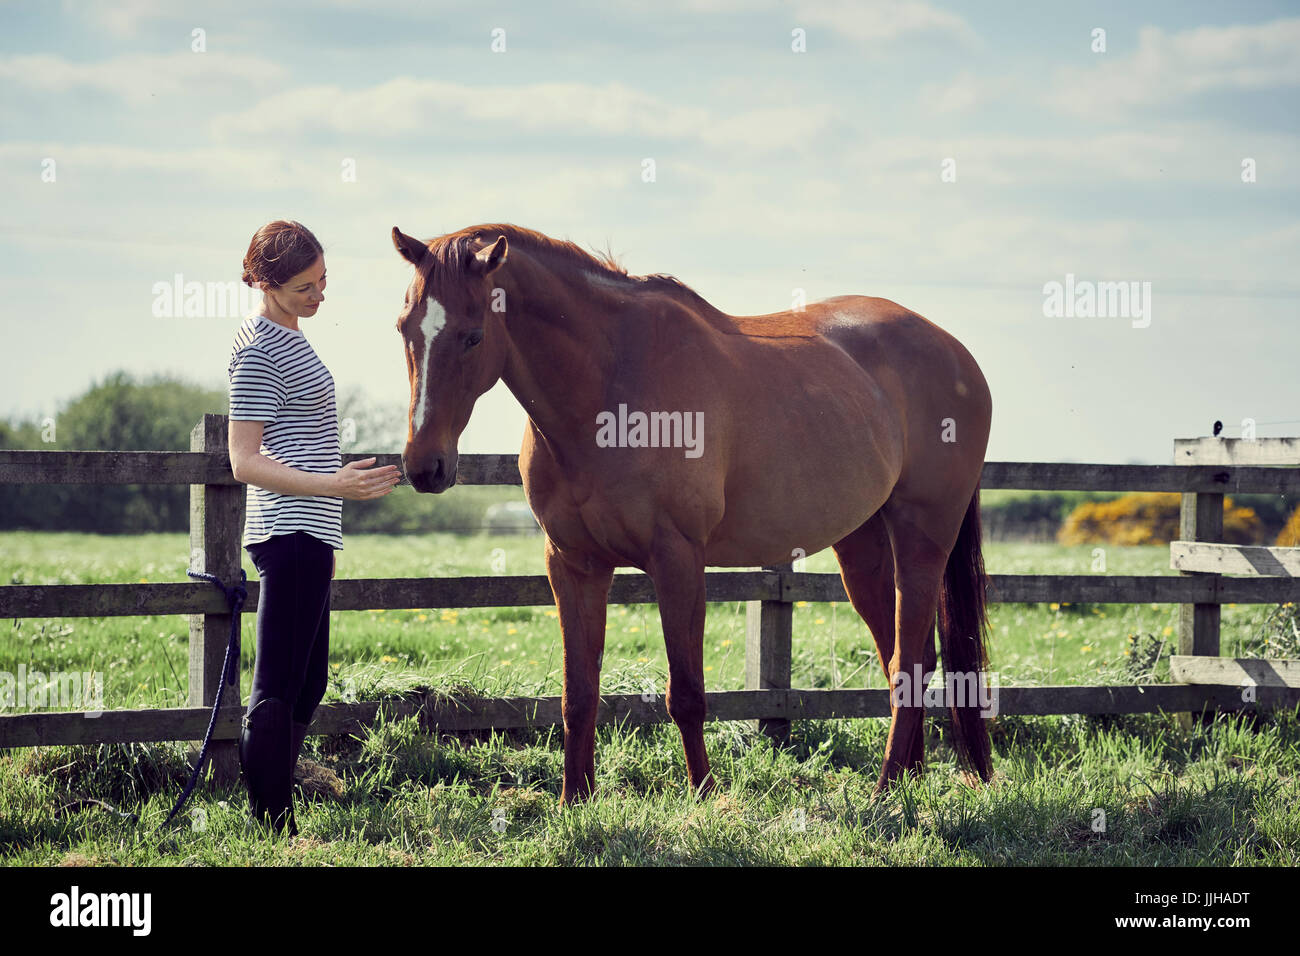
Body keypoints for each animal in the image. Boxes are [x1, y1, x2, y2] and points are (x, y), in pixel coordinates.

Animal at [390, 226, 987, 806]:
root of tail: (957, 353)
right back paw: (907, 779)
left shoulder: (677, 559)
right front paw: (573, 802)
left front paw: (703, 796)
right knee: (909, 658)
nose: (424, 465)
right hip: (862, 548)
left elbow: (686, 694)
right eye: (404, 330)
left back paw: (885, 792)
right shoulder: (573, 565)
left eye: (473, 335)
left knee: (907, 660)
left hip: (922, 538)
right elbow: (578, 694)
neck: (608, 384)